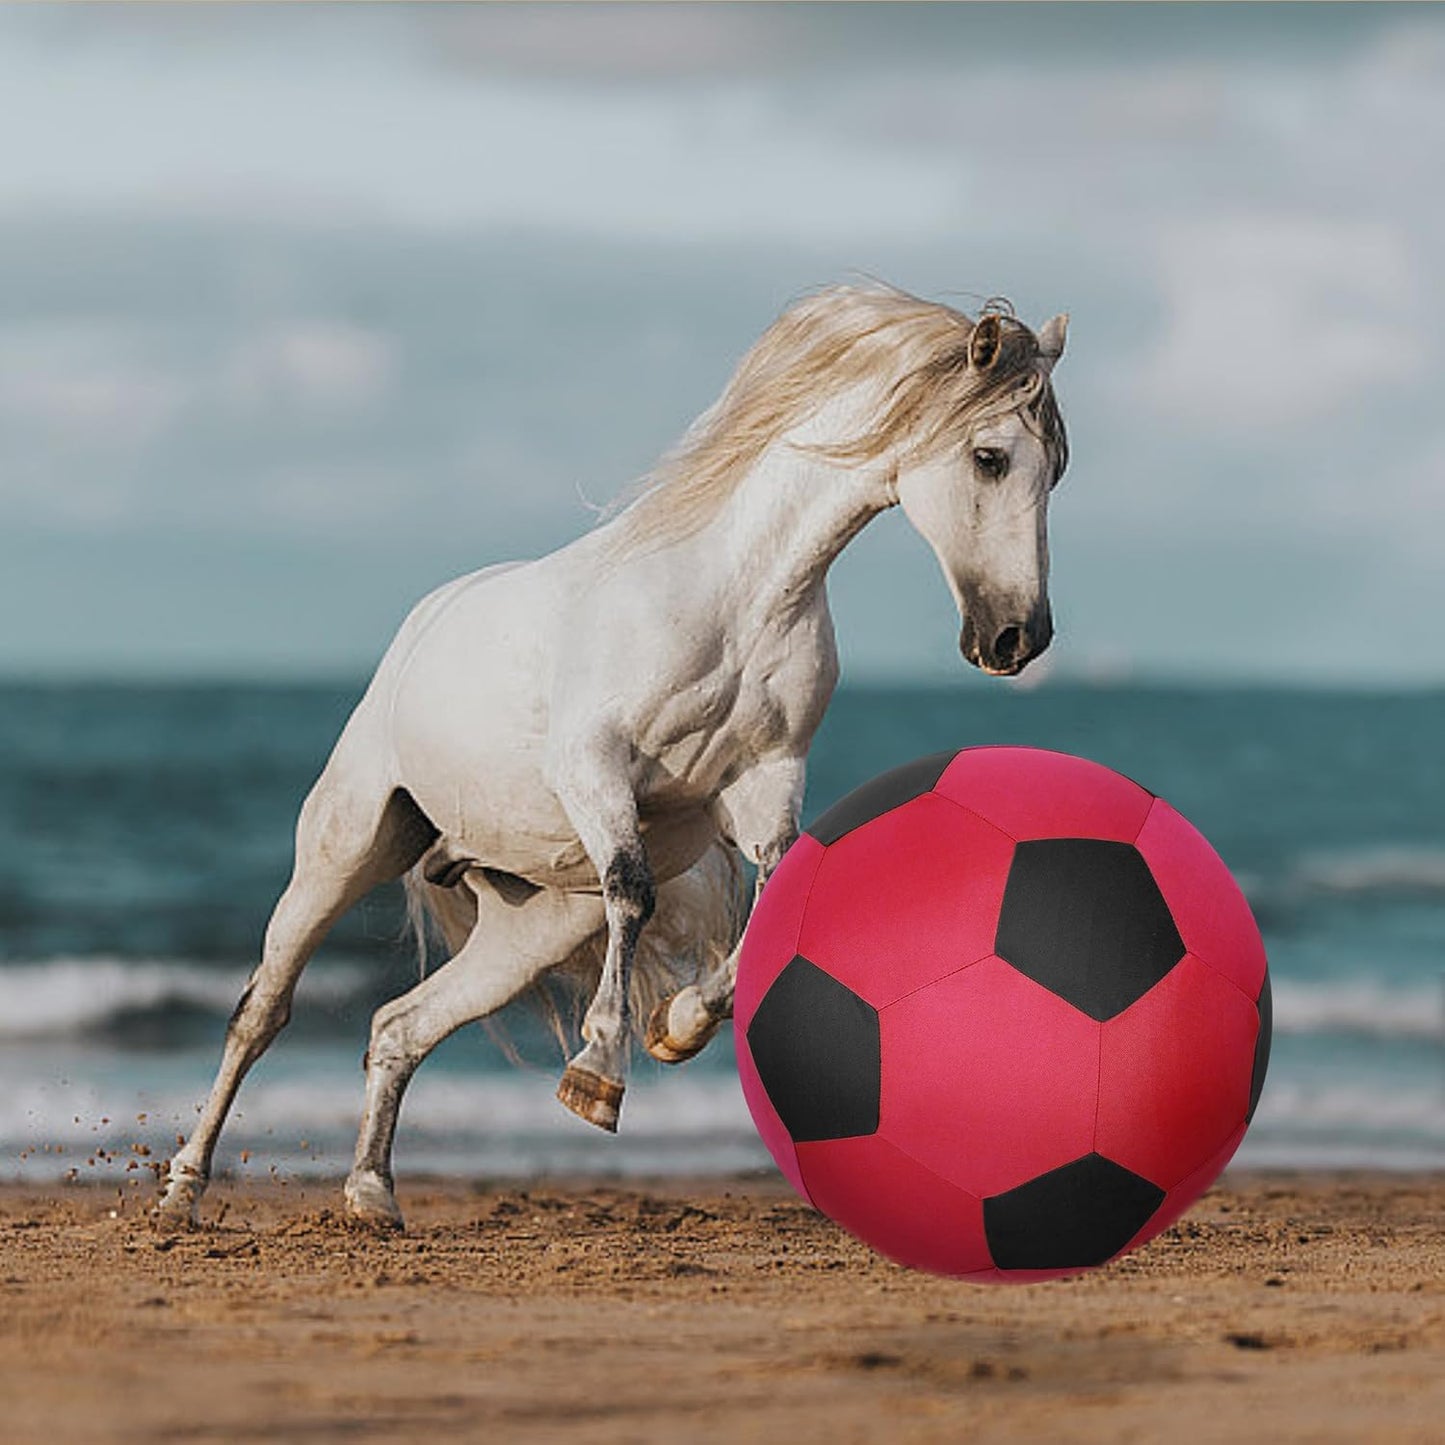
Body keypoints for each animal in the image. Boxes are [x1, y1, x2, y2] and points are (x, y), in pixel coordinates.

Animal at [157, 282, 1069, 1229]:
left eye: (1057, 470)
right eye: (990, 457)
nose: (1018, 639)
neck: (734, 599)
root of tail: (424, 623)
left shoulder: (764, 780)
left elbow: (773, 896)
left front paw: (678, 1025)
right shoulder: (594, 767)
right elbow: (632, 888)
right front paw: (597, 1076)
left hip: (530, 926)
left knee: (398, 1026)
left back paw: (372, 1193)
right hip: (345, 846)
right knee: (263, 1010)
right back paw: (181, 1191)